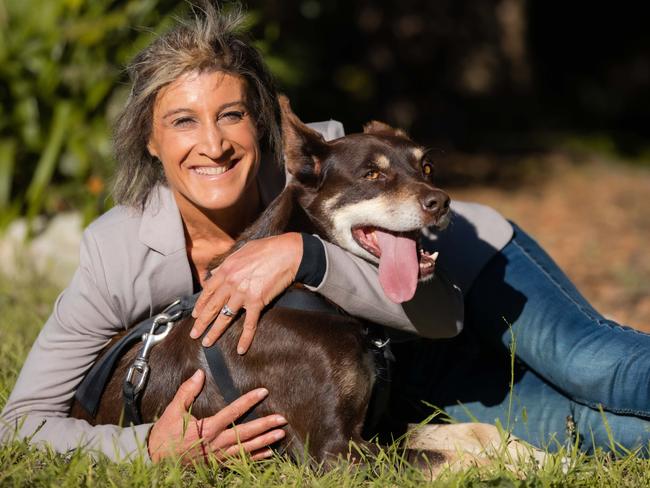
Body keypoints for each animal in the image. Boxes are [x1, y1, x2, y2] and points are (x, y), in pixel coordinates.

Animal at [69, 96, 446, 466]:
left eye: (426, 167)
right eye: (371, 174)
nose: (441, 202)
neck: (301, 291)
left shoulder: (379, 425)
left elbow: (446, 436)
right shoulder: (332, 449)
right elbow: (438, 458)